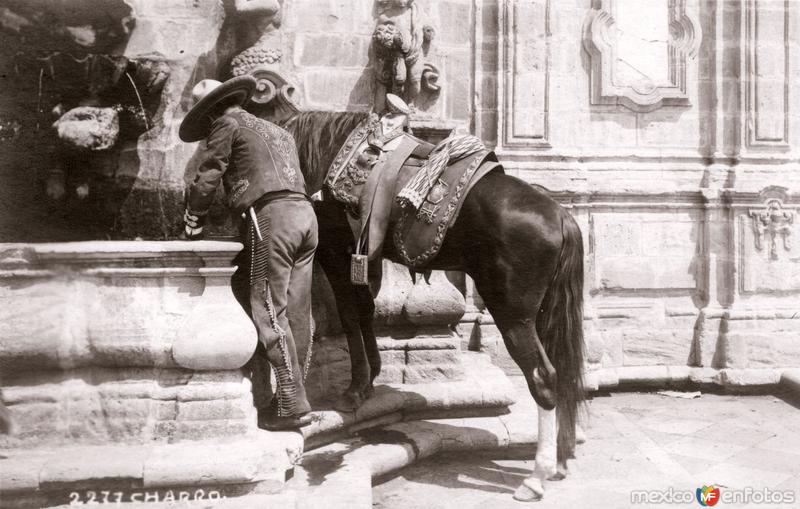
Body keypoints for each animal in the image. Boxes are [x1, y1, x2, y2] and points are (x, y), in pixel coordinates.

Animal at [278, 112, 584, 500]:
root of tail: (560, 216)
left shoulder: (337, 256)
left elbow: (349, 314)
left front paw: (356, 388)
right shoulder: (360, 257)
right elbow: (365, 311)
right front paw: (372, 376)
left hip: (513, 315)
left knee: (544, 377)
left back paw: (536, 476)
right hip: (541, 313)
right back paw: (561, 458)